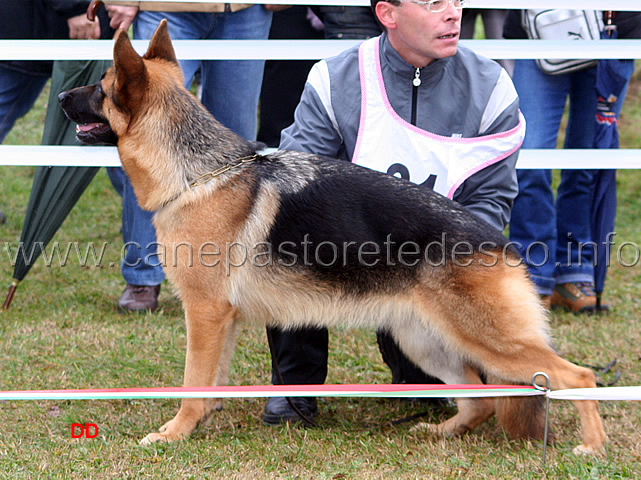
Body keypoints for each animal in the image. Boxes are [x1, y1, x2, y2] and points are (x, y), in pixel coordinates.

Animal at [58, 19, 604, 454]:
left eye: (99, 86)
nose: (61, 96)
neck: (199, 174)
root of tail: (499, 241)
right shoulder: (221, 320)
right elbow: (211, 382)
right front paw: (201, 422)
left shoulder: (206, 314)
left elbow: (194, 382)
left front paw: (175, 433)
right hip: (426, 343)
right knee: (480, 398)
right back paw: (441, 432)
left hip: (489, 342)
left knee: (578, 376)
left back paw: (592, 446)